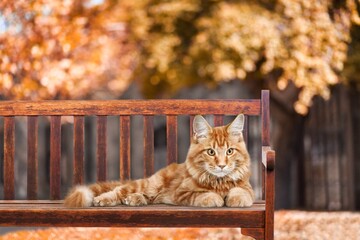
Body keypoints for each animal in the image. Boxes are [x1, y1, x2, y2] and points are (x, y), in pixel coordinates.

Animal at [65, 114, 256, 208]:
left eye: (230, 151)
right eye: (211, 152)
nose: (222, 165)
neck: (219, 182)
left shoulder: (247, 188)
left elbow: (241, 192)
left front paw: (235, 198)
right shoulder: (182, 193)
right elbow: (203, 194)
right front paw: (215, 198)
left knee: (145, 198)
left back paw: (134, 200)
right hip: (149, 184)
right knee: (119, 190)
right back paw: (103, 199)